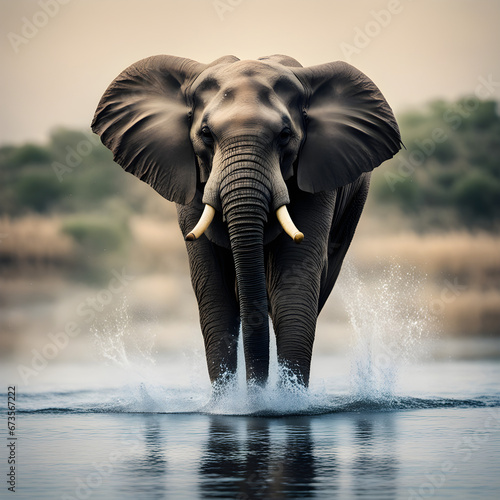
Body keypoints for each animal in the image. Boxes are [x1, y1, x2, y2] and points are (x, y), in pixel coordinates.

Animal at [92, 53, 400, 386]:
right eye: (206, 134)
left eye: (285, 135)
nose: (258, 389)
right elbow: (215, 291)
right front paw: (230, 398)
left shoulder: (319, 179)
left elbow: (293, 287)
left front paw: (285, 397)